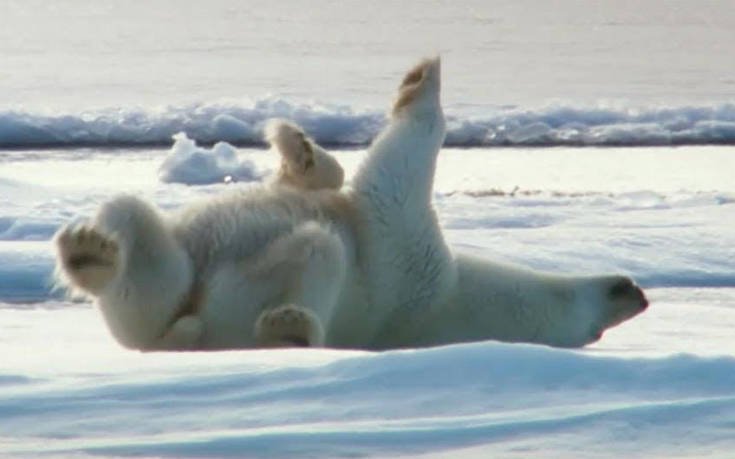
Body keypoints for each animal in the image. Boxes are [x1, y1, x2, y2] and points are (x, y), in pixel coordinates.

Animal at [53, 58, 648, 352]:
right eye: (616, 290)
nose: (634, 290)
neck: (451, 298)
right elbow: (317, 184)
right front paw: (297, 146)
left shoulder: (404, 245)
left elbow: (394, 169)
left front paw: (422, 79)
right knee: (134, 216)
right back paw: (92, 245)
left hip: (188, 315)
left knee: (307, 255)